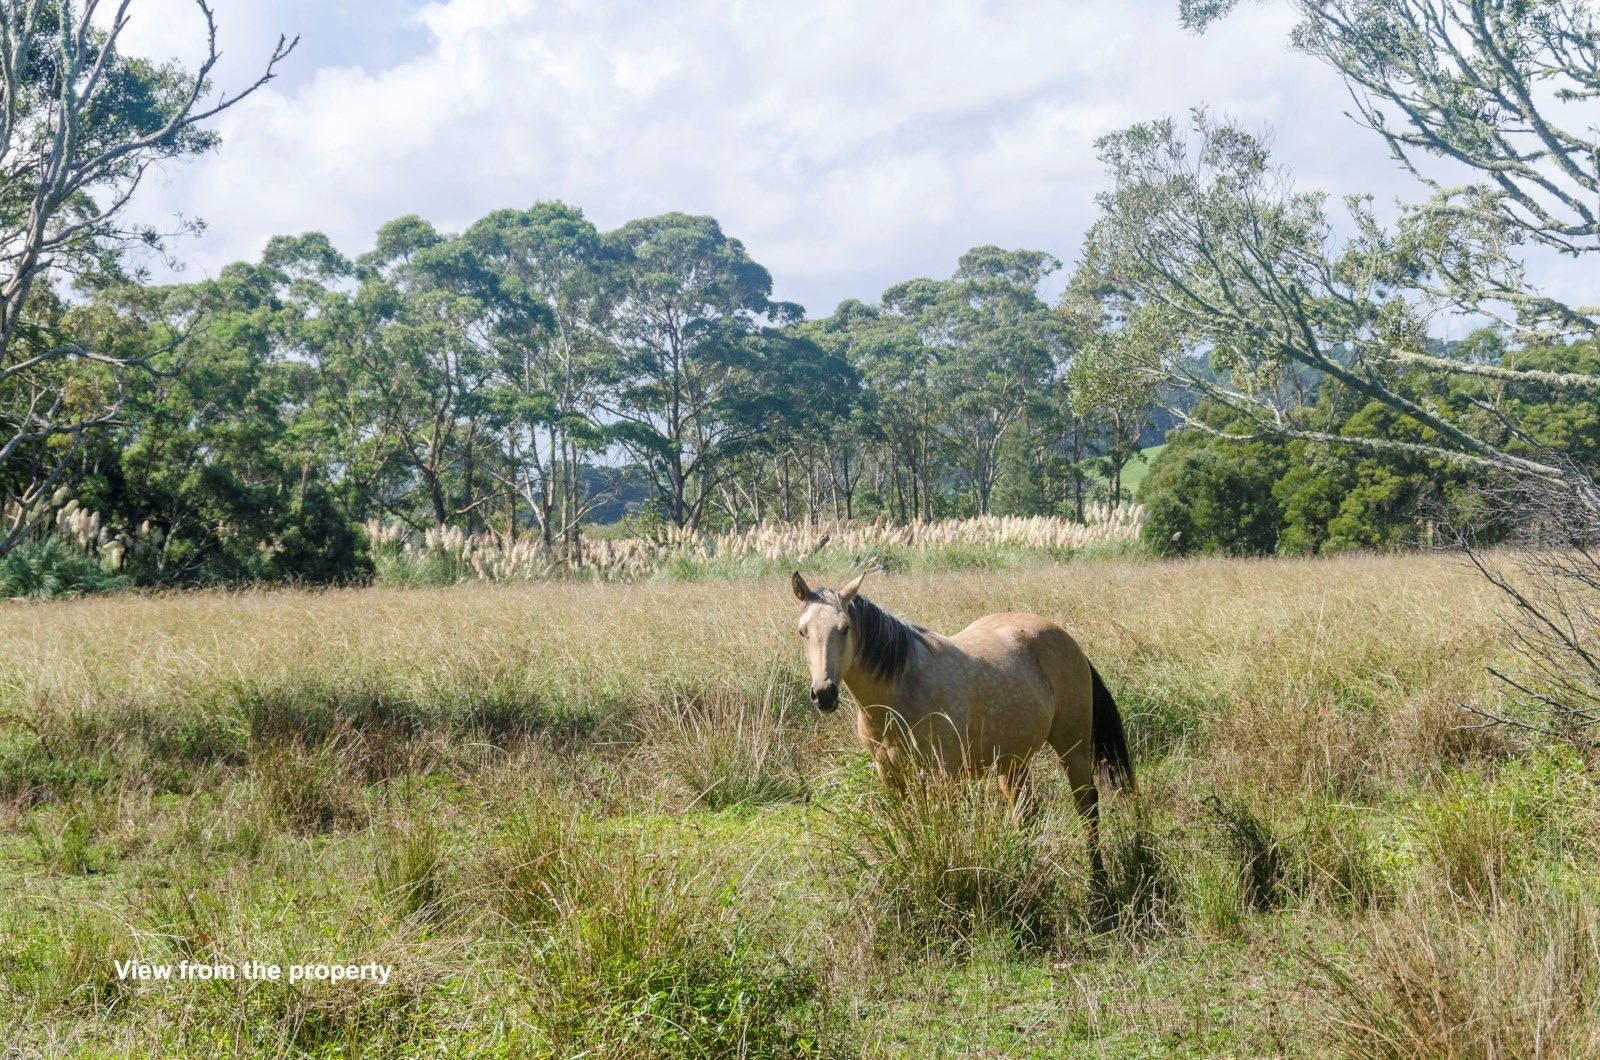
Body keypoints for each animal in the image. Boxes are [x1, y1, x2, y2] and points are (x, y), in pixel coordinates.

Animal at [793, 573, 1132, 871]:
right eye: (802, 631)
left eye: (845, 628)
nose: (824, 694)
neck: (900, 689)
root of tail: (1068, 641)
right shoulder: (889, 773)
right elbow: (909, 824)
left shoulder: (943, 773)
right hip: (1013, 759)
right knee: (1026, 811)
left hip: (1074, 748)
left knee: (1087, 807)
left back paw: (1098, 883)